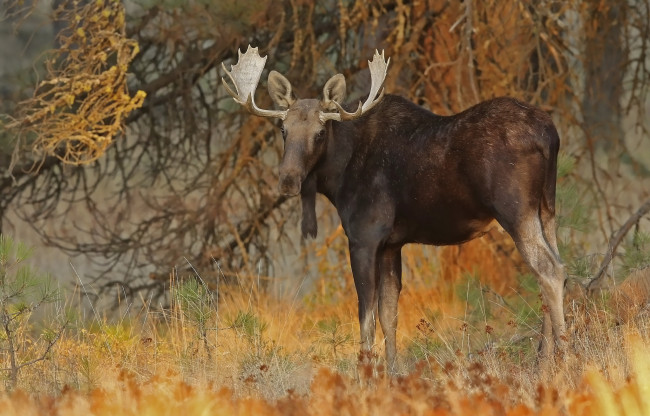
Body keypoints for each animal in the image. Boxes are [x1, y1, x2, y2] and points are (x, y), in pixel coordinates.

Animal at [220, 45, 564, 370]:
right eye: (283, 130)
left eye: (319, 133)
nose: (288, 180)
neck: (338, 177)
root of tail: (550, 134)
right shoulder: (391, 244)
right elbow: (389, 315)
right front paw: (392, 374)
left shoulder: (364, 237)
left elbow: (366, 317)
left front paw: (366, 374)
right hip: (546, 209)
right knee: (554, 268)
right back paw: (542, 362)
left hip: (516, 210)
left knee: (549, 270)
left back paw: (562, 357)